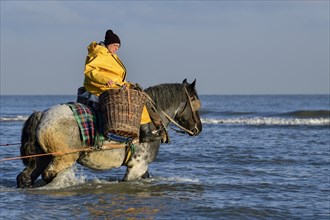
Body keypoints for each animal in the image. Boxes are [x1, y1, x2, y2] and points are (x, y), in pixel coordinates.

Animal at [16, 79, 202, 187]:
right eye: (194, 101)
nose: (198, 128)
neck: (152, 120)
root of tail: (43, 114)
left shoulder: (142, 167)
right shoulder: (138, 166)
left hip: (42, 158)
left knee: (25, 177)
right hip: (63, 158)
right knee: (48, 175)